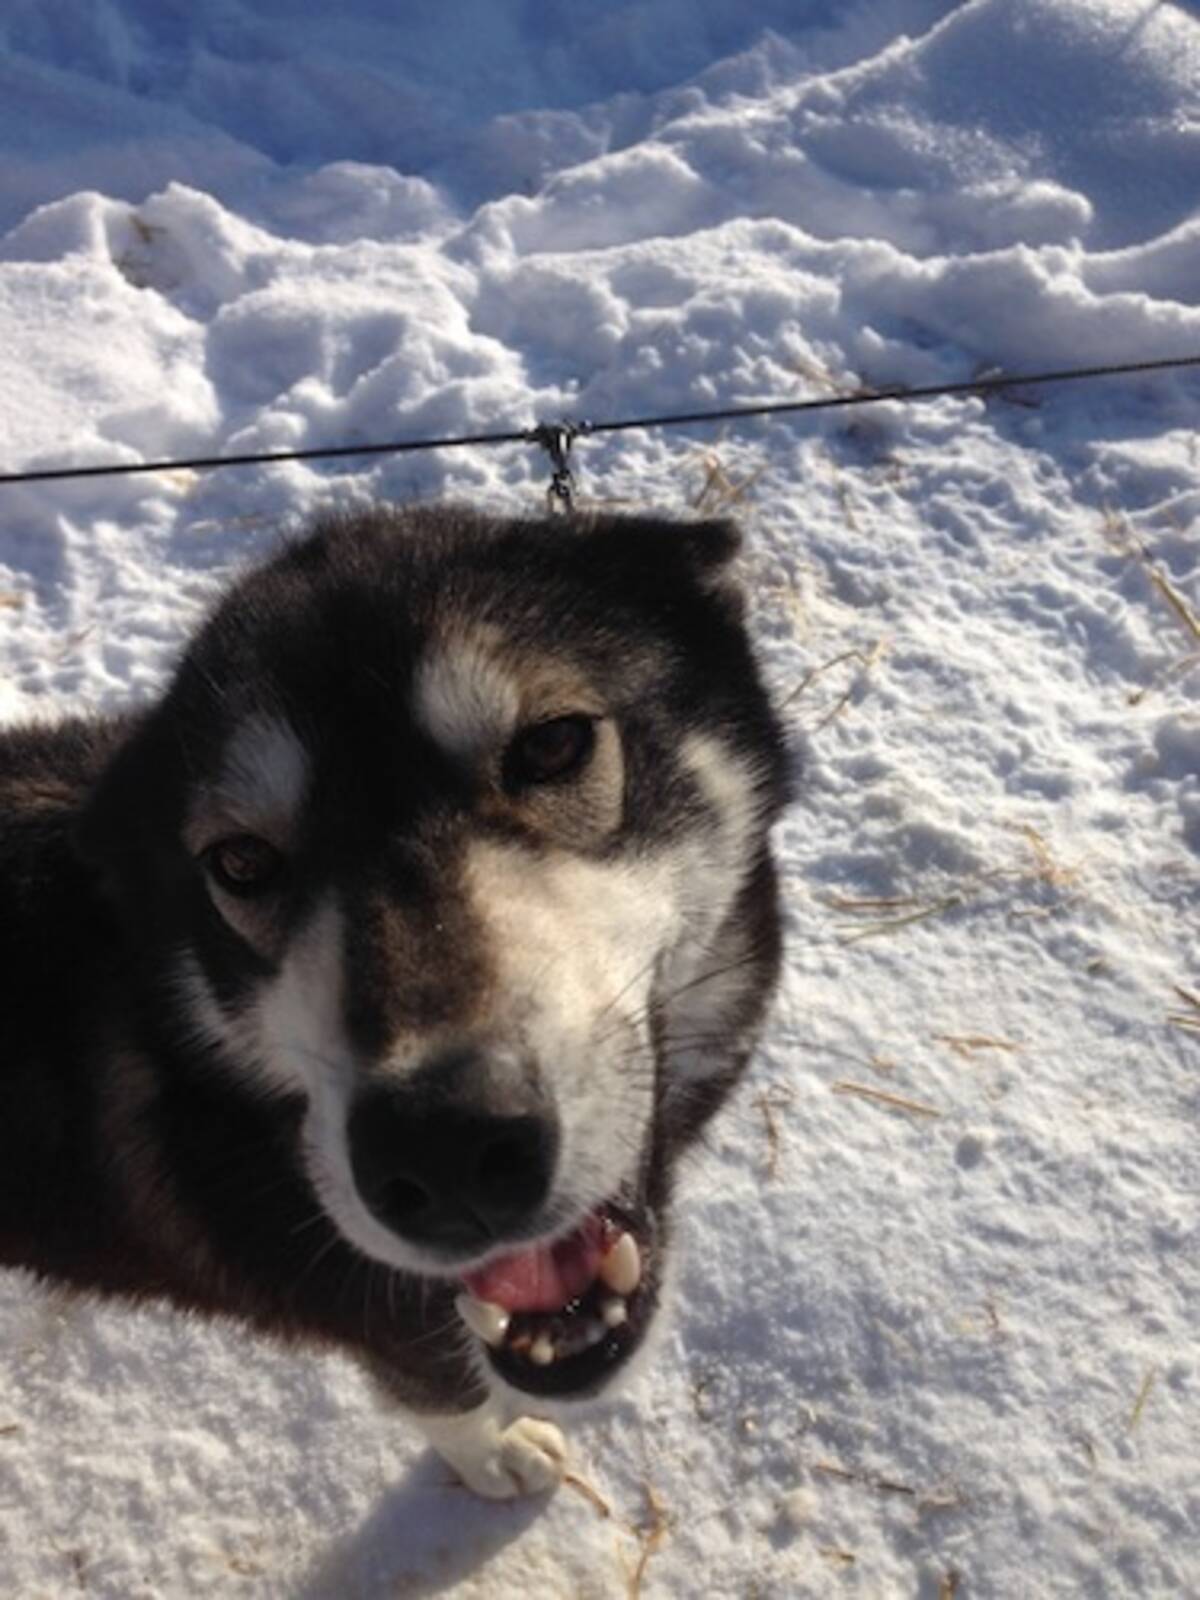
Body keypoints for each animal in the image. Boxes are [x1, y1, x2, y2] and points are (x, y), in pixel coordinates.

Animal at [0, 508, 793, 1497]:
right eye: (240, 862)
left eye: (554, 744)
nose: (443, 1146)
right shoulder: (391, 1325)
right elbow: (449, 1398)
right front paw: (496, 1456)